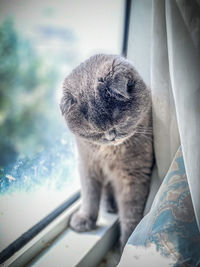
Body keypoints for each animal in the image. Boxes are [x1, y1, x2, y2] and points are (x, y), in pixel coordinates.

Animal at [60, 53, 154, 250]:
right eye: (94, 132)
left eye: (119, 123)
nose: (111, 136)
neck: (109, 153)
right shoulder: (86, 165)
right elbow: (89, 195)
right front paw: (85, 218)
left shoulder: (133, 176)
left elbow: (130, 213)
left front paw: (126, 244)